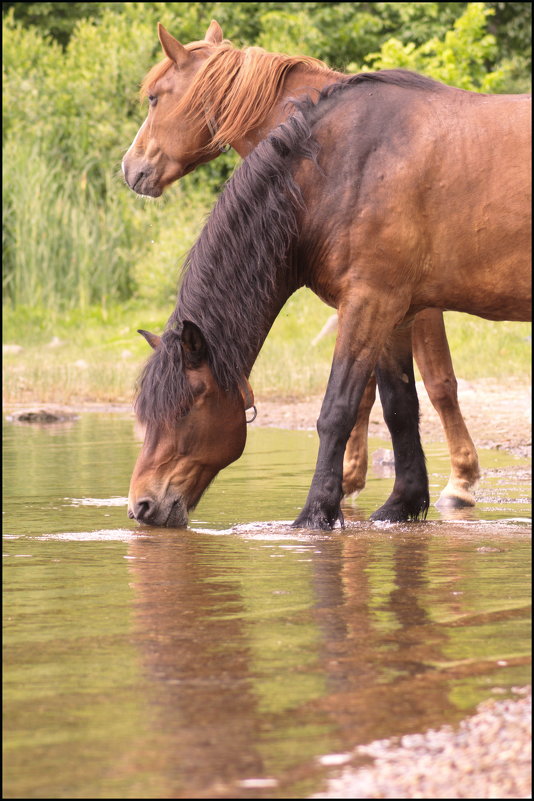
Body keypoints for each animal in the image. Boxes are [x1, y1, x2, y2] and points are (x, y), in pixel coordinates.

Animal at [127, 70, 532, 524]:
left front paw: (316, 511)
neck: (337, 172)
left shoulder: (368, 304)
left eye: (184, 409)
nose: (142, 505)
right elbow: (399, 407)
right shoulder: (397, 314)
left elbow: (337, 409)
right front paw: (401, 503)